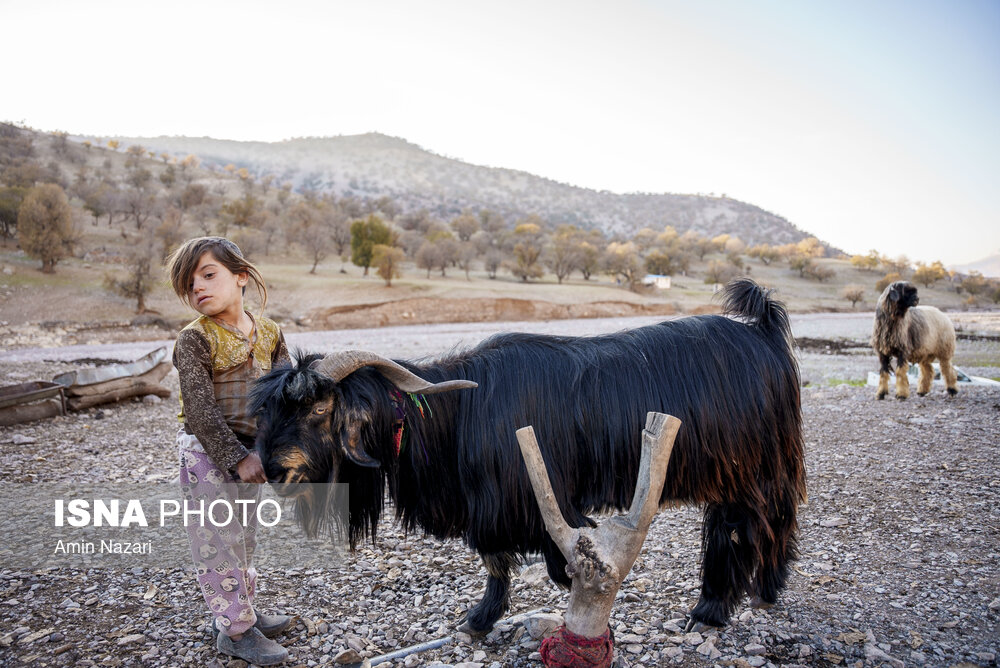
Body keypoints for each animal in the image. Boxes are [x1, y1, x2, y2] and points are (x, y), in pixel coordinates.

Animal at [254, 280, 808, 636]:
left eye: (320, 406)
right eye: (271, 408)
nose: (275, 471)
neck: (458, 415)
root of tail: (762, 331)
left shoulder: (535, 496)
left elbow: (550, 555)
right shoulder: (489, 505)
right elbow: (494, 559)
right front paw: (480, 620)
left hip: (751, 466)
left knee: (747, 523)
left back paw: (714, 608)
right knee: (763, 522)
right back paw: (762, 592)